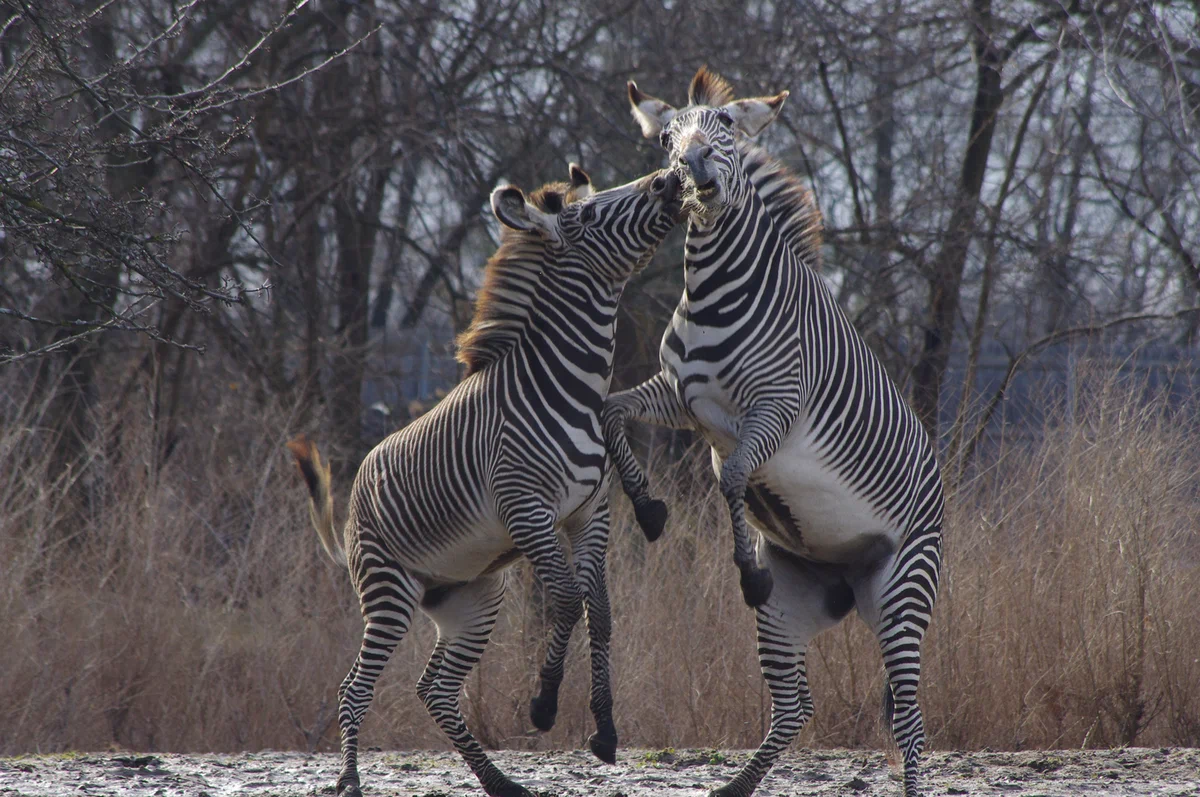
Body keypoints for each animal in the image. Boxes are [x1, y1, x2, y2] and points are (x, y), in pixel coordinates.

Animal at [286, 163, 681, 797]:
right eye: (591, 214)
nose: (671, 179)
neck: (572, 385)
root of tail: (351, 512)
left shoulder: (588, 514)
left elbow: (598, 610)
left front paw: (604, 731)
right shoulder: (527, 509)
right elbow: (566, 599)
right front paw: (544, 706)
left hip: (472, 599)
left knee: (434, 689)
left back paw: (499, 781)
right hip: (389, 590)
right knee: (355, 688)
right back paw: (349, 779)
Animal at [604, 66, 940, 797]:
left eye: (726, 127)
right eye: (666, 138)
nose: (692, 168)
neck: (712, 292)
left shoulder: (776, 409)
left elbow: (733, 474)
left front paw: (742, 568)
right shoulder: (678, 397)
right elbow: (612, 413)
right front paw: (647, 508)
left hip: (902, 589)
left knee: (910, 719)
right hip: (793, 604)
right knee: (795, 705)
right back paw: (735, 786)